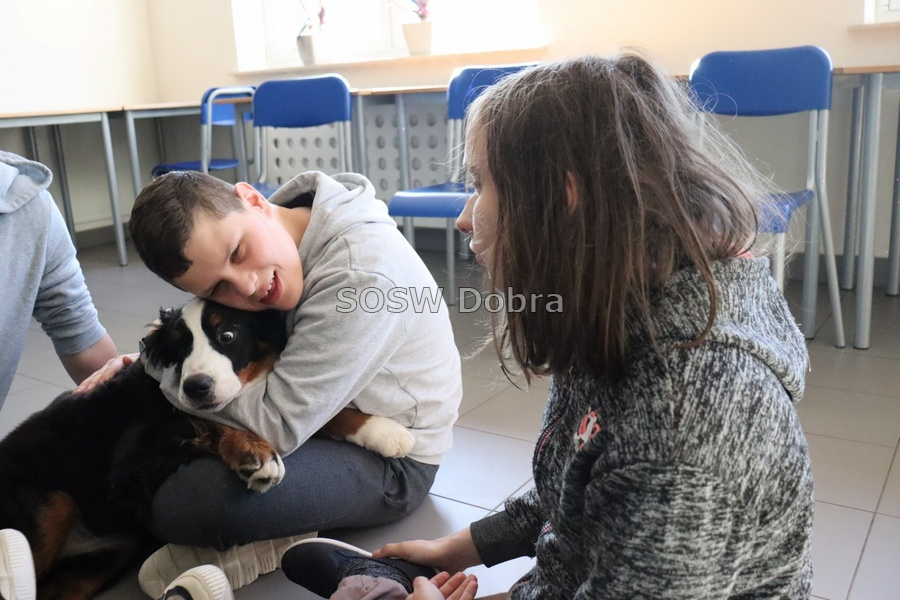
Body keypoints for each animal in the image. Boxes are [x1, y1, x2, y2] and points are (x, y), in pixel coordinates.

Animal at [0, 297, 415, 599]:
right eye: (179, 347)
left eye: (227, 335)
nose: (196, 386)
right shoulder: (133, 460)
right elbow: (212, 422)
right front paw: (254, 455)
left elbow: (320, 414)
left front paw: (382, 430)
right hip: (52, 506)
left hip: (101, 558)